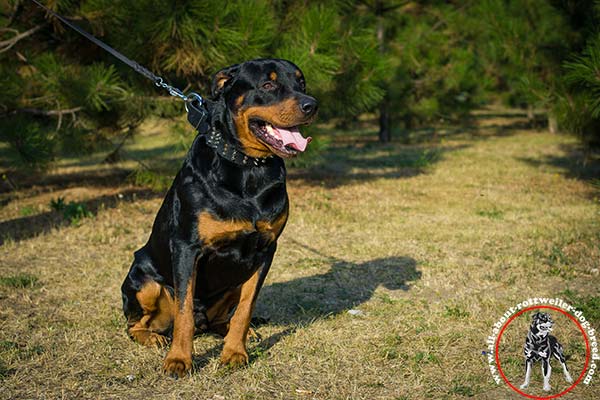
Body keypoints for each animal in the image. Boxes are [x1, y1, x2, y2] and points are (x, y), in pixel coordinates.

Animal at [122, 58, 318, 378]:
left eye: (301, 83)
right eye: (268, 84)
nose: (311, 105)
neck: (248, 167)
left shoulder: (265, 251)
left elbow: (246, 309)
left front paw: (235, 352)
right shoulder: (187, 248)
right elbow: (184, 312)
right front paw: (179, 360)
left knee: (221, 319)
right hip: (144, 280)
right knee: (136, 323)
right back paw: (152, 338)